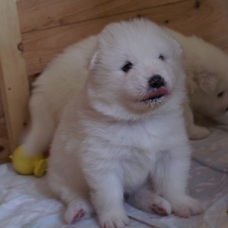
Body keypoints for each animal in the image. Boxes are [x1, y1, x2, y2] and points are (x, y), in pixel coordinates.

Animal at [46, 19, 201, 228]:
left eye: (161, 57)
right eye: (127, 66)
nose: (156, 79)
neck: (141, 119)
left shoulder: (171, 151)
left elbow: (173, 182)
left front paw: (183, 204)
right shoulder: (103, 163)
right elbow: (109, 195)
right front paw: (114, 218)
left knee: (138, 193)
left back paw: (156, 204)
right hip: (61, 175)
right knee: (77, 196)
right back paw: (77, 210)